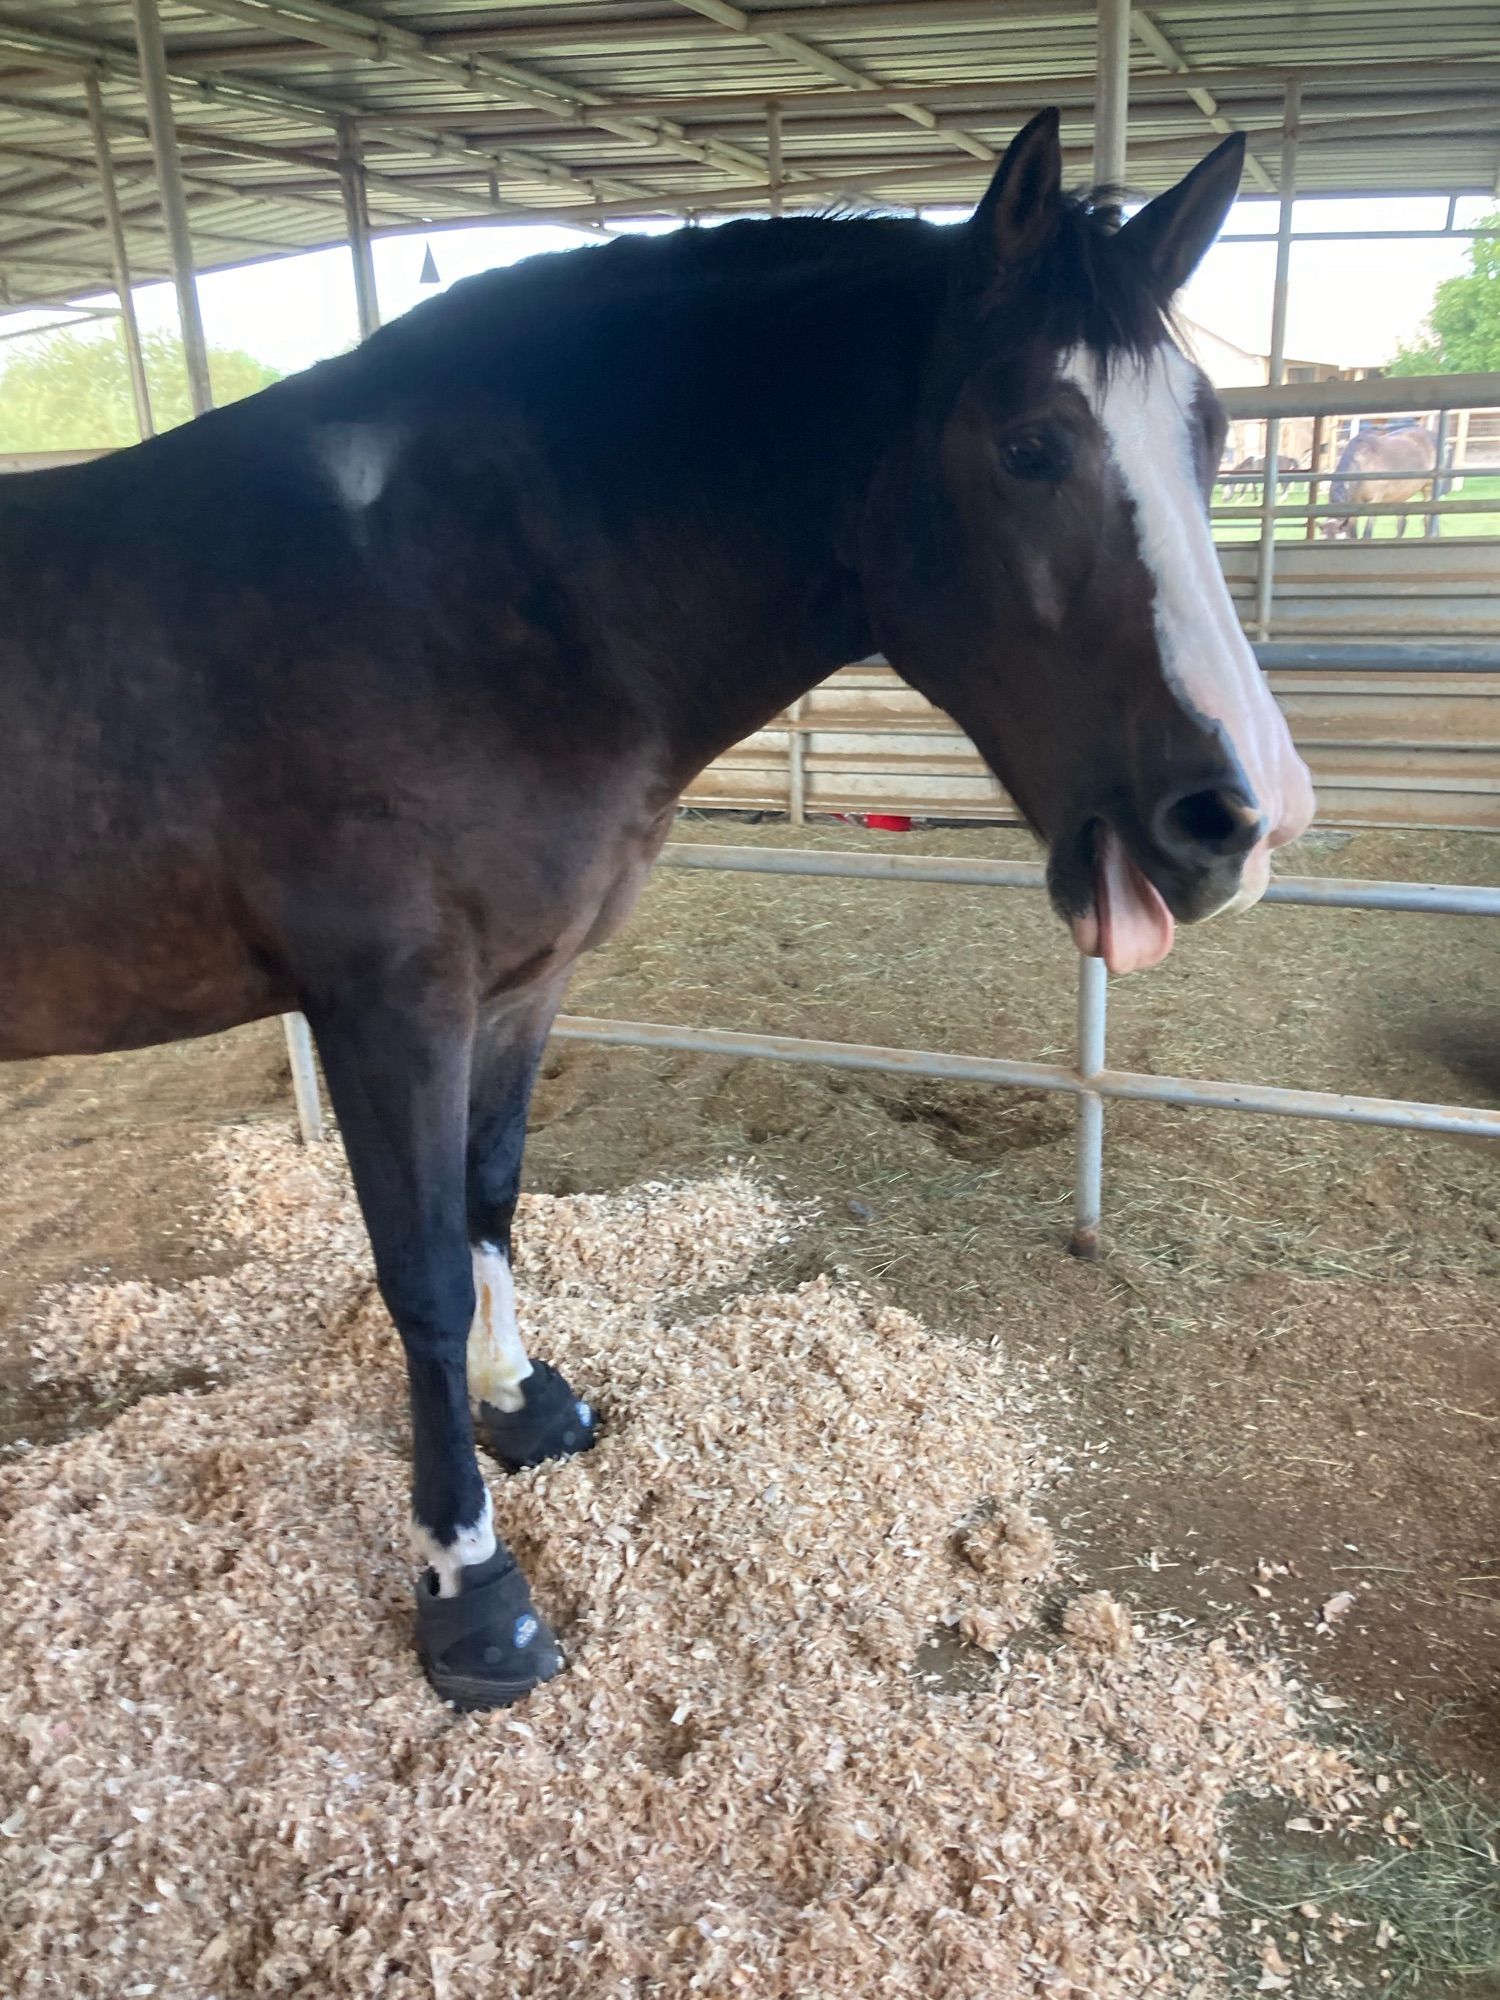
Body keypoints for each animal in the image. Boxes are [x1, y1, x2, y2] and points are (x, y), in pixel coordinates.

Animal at [0, 113, 1312, 1704]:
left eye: (1212, 436)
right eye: (1028, 446)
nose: (1240, 822)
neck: (446, 590)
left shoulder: (522, 982)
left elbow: (492, 1199)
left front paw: (525, 1408)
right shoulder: (386, 1005)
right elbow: (422, 1276)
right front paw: (472, 1590)